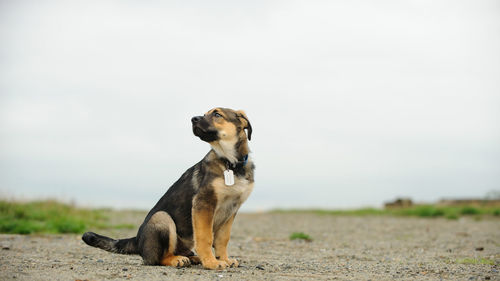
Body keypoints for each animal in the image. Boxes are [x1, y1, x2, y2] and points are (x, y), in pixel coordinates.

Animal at [83, 107, 254, 270]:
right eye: (205, 113)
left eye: (217, 114)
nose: (193, 119)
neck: (231, 163)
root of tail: (137, 240)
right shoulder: (204, 203)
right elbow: (205, 237)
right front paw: (212, 262)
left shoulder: (231, 210)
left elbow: (222, 239)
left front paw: (224, 259)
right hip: (162, 218)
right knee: (158, 259)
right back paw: (178, 260)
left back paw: (193, 258)